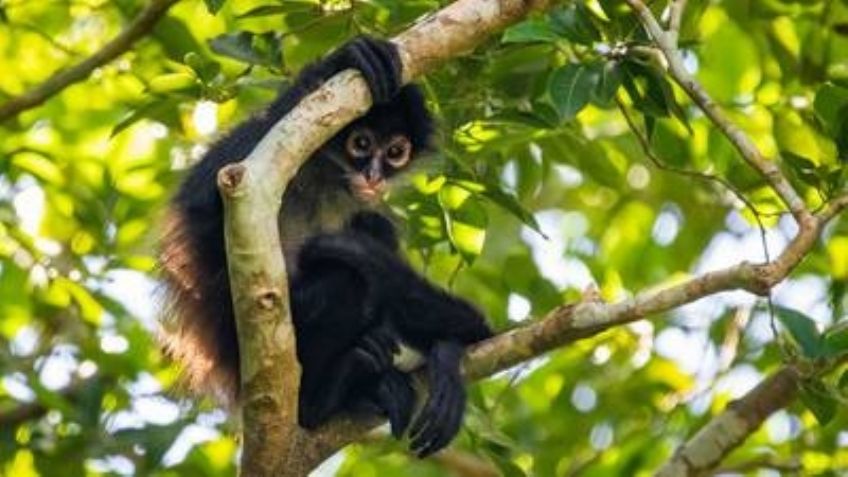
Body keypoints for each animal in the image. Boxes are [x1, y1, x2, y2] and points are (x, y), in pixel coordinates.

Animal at [160, 36, 492, 458]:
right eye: (361, 143)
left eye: (395, 152)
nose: (373, 176)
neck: (323, 174)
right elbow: (206, 198)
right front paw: (338, 61)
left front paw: (448, 356)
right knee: (342, 282)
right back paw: (318, 401)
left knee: (371, 235)